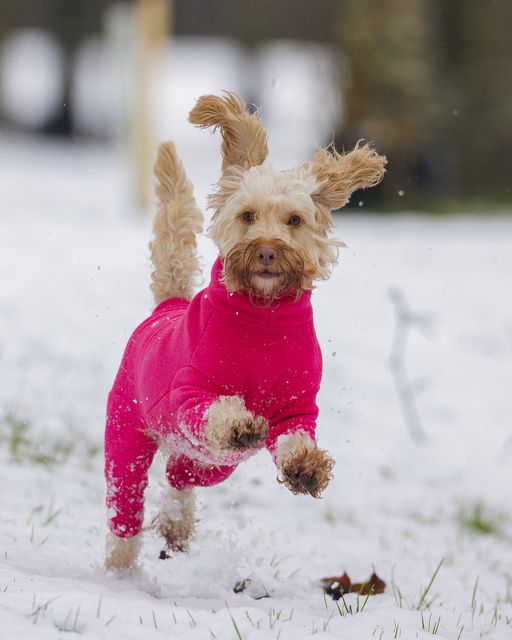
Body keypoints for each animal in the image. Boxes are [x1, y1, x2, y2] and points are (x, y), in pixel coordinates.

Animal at [104, 91, 386, 568]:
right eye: (248, 216)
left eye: (294, 220)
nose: (268, 251)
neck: (264, 318)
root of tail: (169, 304)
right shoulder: (190, 394)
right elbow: (215, 410)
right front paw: (238, 423)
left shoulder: (296, 408)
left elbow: (294, 438)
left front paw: (306, 467)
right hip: (127, 431)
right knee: (125, 502)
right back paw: (119, 566)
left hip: (213, 465)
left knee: (180, 476)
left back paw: (176, 525)